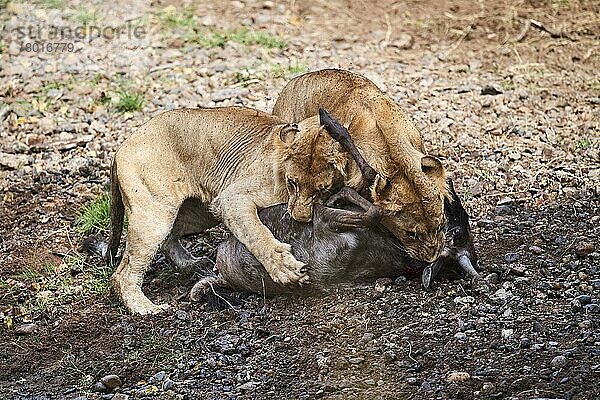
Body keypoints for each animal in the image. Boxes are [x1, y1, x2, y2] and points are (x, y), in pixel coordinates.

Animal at [106, 106, 356, 316]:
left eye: (322, 189)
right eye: (292, 182)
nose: (301, 218)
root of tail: (121, 147)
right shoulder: (231, 199)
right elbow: (257, 234)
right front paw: (285, 269)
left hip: (196, 214)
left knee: (169, 238)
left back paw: (192, 264)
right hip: (155, 214)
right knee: (122, 273)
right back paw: (145, 308)